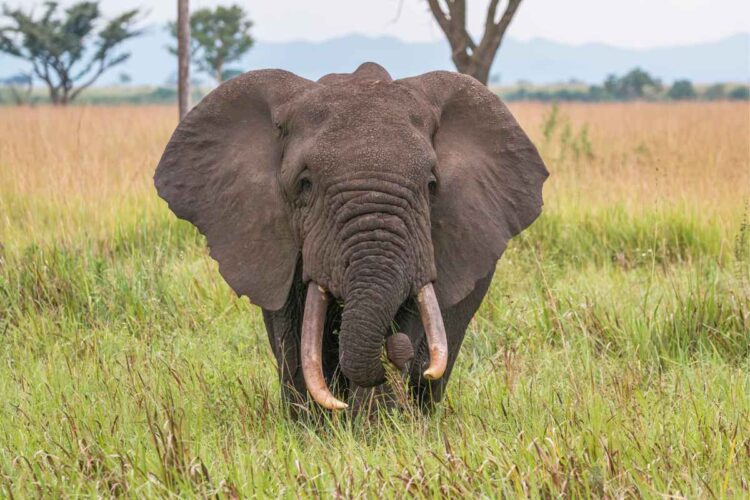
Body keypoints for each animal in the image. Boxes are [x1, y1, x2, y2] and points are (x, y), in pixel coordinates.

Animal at [154, 62, 548, 415]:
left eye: (431, 184)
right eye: (305, 184)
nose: (394, 350)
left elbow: (412, 314)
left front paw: (374, 427)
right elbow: (291, 331)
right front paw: (312, 428)